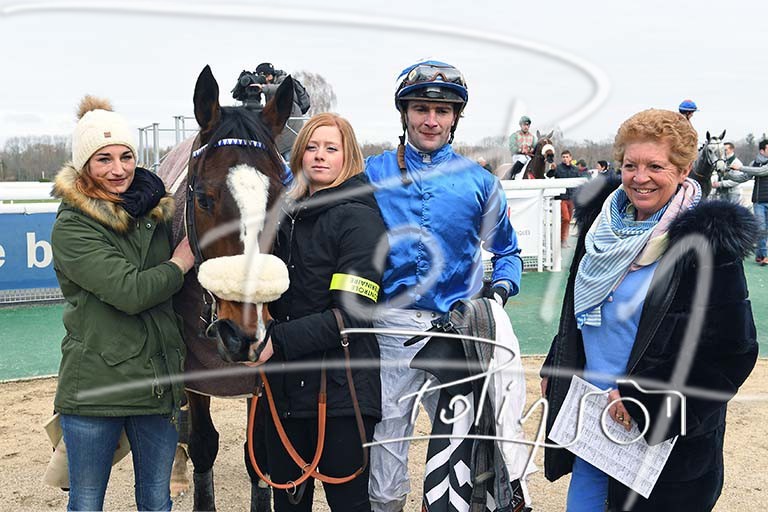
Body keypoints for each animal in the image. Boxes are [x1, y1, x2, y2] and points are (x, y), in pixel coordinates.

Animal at [158, 65, 294, 512]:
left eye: (281, 199)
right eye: (202, 198)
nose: (242, 333)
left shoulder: (262, 368)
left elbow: (261, 456)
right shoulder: (194, 367)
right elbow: (203, 442)